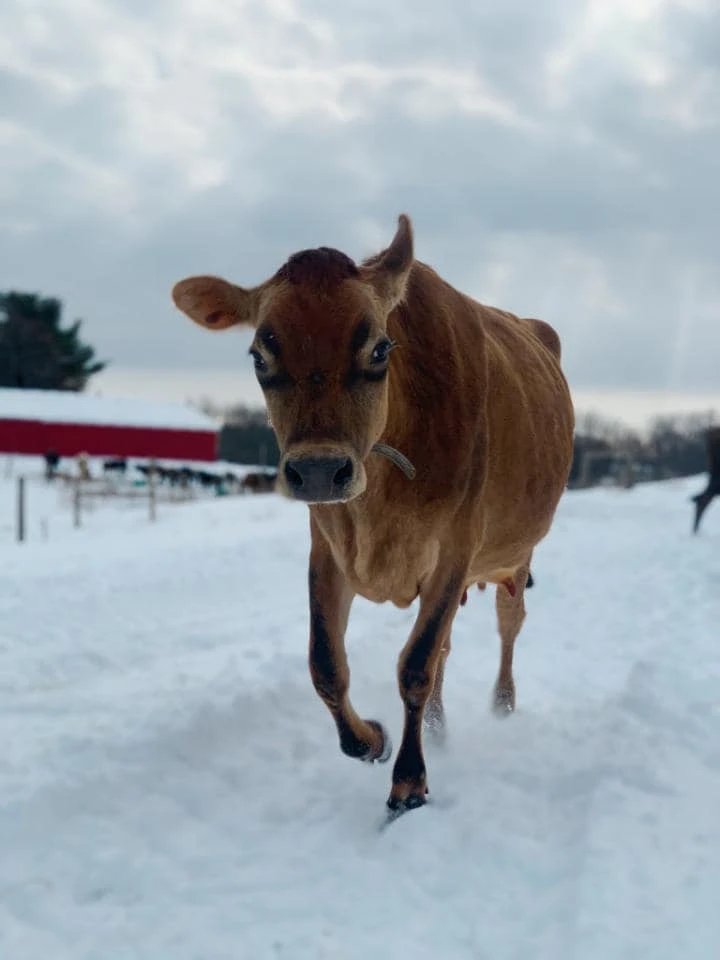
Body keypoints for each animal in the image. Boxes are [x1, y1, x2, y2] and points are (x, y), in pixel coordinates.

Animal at [171, 215, 574, 817]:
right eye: (259, 356)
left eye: (380, 350)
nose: (318, 471)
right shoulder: (329, 548)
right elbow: (325, 665)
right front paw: (373, 740)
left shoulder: (455, 549)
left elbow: (414, 666)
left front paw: (408, 783)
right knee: (447, 651)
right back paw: (438, 728)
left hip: (515, 556)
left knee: (508, 625)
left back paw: (502, 704)